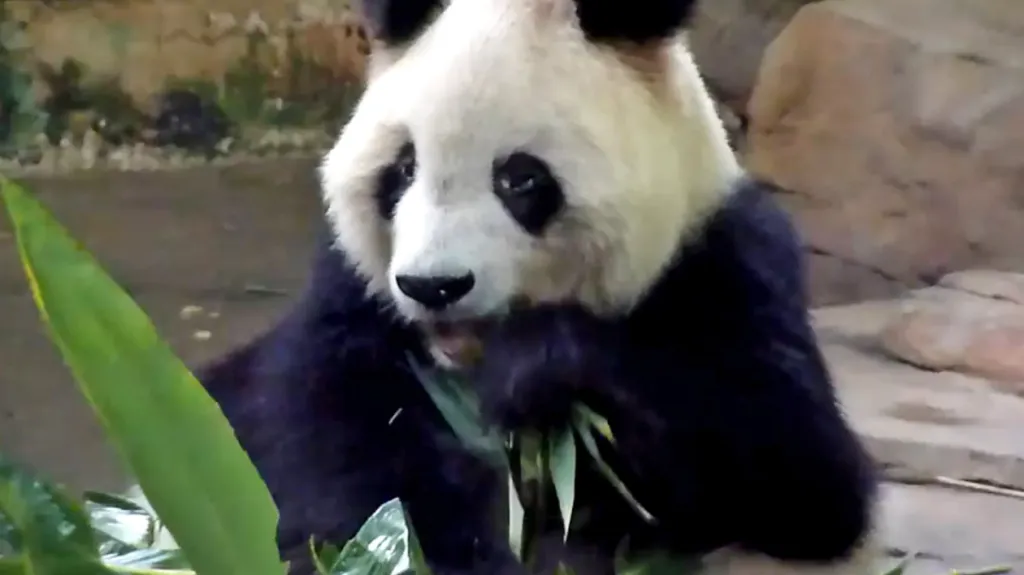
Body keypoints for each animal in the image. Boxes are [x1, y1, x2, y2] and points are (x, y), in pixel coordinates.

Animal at [172, 0, 884, 574]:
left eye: (520, 179)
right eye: (401, 170)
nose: (434, 286)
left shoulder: (725, 269)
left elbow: (800, 478)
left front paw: (535, 369)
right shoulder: (353, 307)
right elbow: (323, 470)